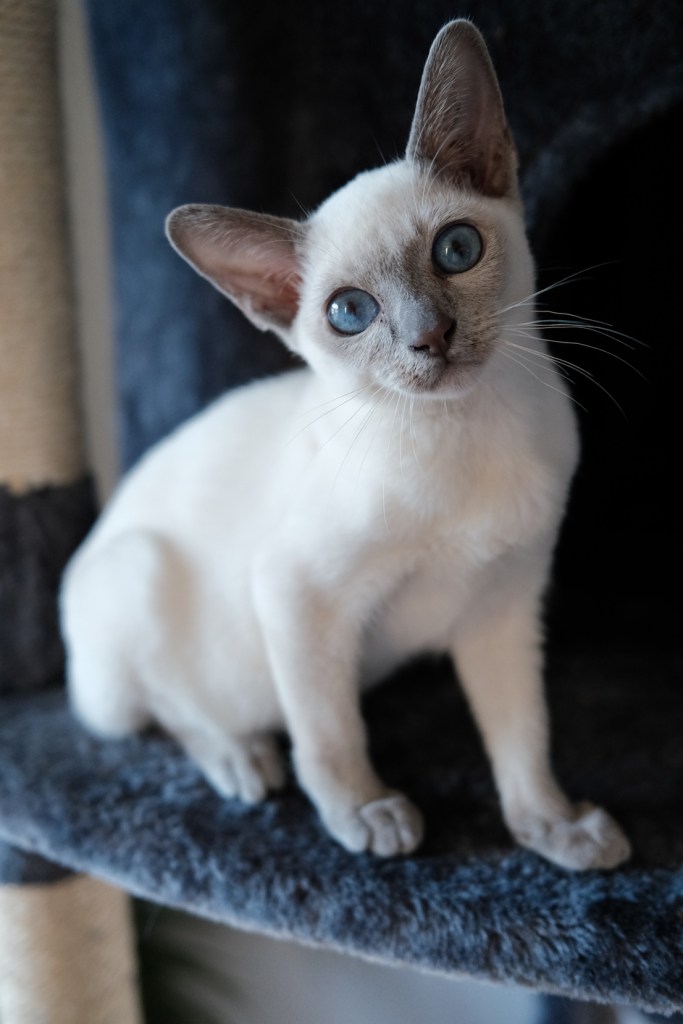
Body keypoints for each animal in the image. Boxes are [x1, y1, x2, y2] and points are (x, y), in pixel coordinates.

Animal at [60, 19, 630, 868]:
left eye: (456, 251)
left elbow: (522, 740)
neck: (465, 436)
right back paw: (243, 760)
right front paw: (364, 816)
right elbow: (329, 734)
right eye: (351, 313)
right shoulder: (297, 596)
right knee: (167, 708)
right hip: (134, 578)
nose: (431, 337)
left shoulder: (503, 605)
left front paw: (553, 831)